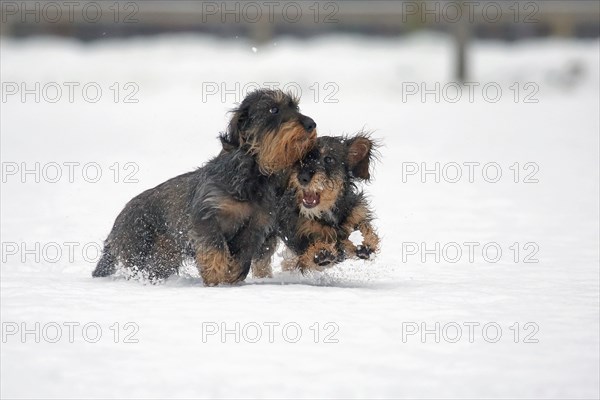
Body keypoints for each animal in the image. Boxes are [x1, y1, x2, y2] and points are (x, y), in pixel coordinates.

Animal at [91, 89, 316, 286]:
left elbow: (242, 257)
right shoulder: (207, 216)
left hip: (164, 259)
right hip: (138, 250)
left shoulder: (255, 227)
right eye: (273, 109)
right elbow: (215, 247)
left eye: (295, 107)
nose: (312, 124)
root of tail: (117, 224)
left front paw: (232, 276)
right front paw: (216, 275)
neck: (250, 176)